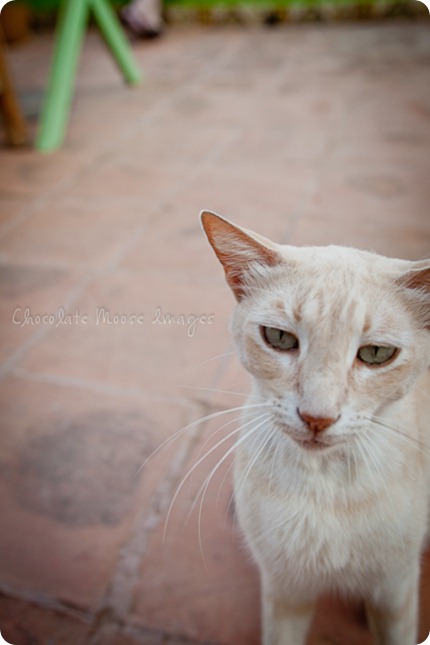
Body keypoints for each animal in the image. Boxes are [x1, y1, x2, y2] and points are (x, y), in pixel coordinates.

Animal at [200, 211, 430, 644]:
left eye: (377, 354)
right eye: (279, 338)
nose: (316, 417)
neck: (326, 486)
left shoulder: (396, 589)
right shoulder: (284, 590)